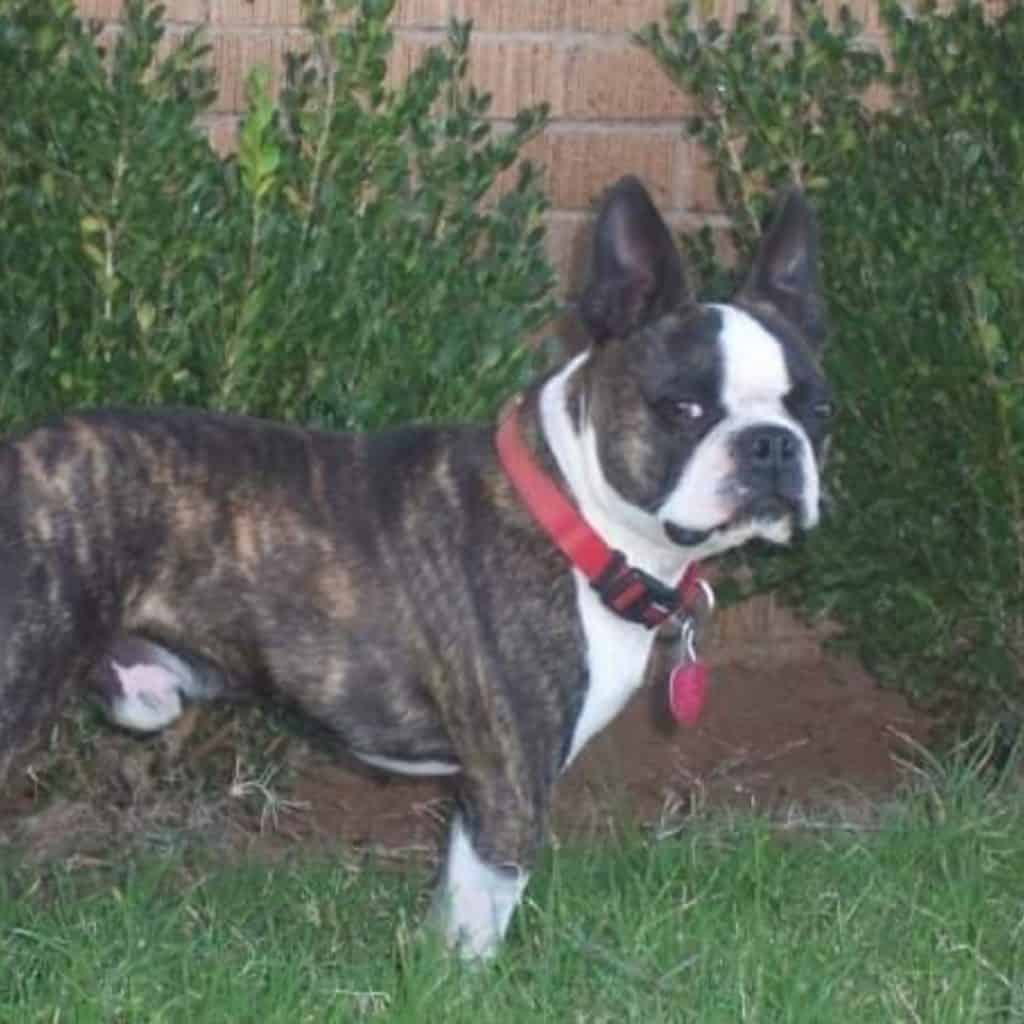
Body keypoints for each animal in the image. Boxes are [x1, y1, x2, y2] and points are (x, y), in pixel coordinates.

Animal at [0, 176, 831, 959]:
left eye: (818, 410)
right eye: (685, 409)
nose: (772, 444)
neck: (578, 515)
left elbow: (452, 913)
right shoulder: (510, 783)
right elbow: (483, 921)